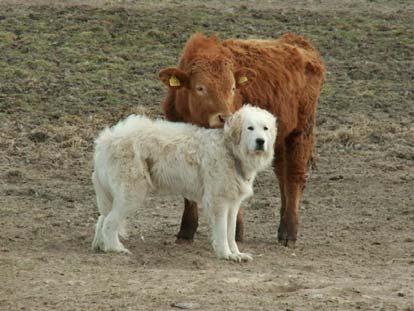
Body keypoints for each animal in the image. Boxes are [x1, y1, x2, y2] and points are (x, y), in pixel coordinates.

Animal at [92, 106, 276, 262]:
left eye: (265, 128)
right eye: (250, 128)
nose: (260, 141)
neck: (230, 150)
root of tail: (105, 139)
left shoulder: (232, 204)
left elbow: (231, 233)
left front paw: (236, 254)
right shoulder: (218, 202)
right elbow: (222, 232)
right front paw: (225, 254)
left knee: (102, 218)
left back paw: (101, 246)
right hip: (132, 195)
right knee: (109, 223)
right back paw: (116, 249)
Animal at [160, 33, 326, 247]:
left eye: (232, 88)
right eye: (200, 88)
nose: (224, 118)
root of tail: (297, 42)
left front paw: (235, 230)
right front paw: (186, 229)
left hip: (301, 131)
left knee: (293, 177)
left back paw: (289, 232)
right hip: (280, 137)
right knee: (282, 174)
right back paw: (282, 225)